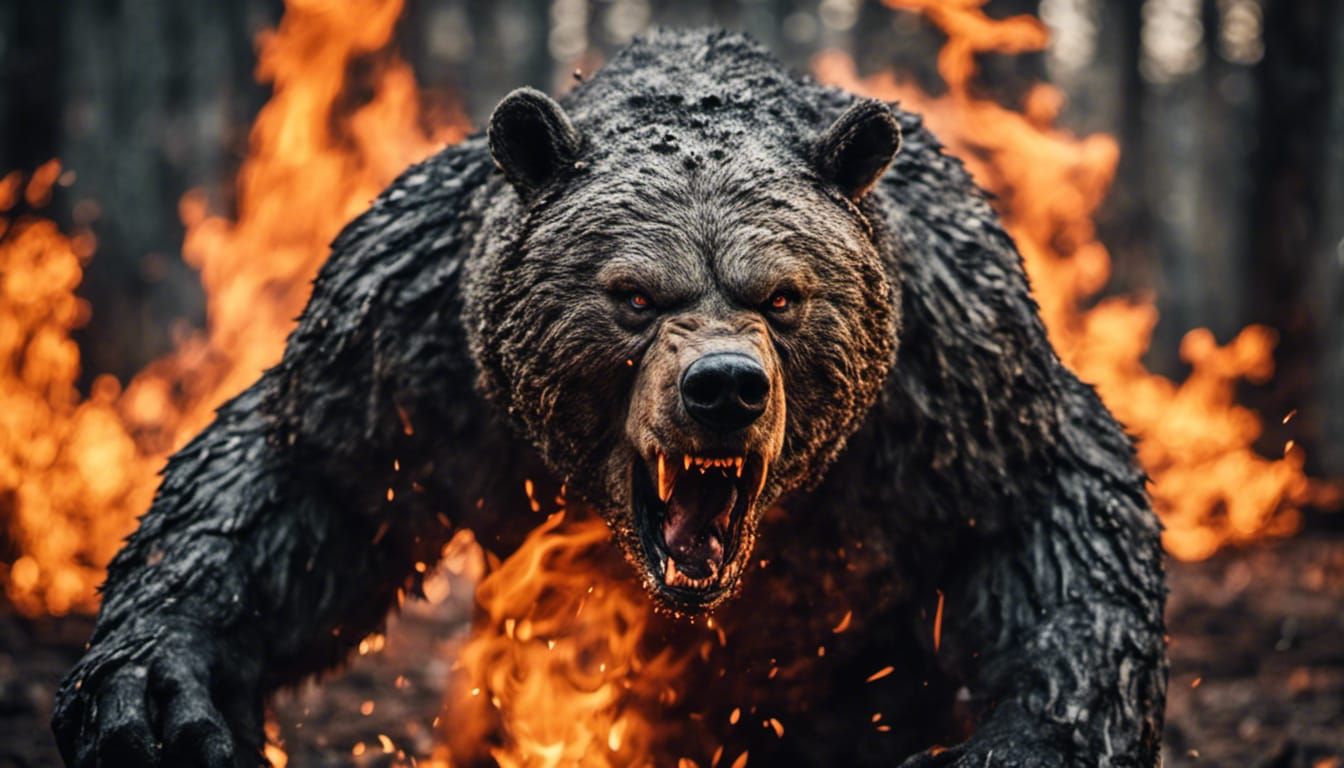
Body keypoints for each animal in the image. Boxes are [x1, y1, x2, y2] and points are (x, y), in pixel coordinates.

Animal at [52, 29, 1167, 768]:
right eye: (633, 294)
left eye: (784, 295)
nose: (723, 387)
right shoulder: (409, 349)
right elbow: (302, 479)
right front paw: (159, 691)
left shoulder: (958, 380)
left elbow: (1046, 519)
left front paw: (1032, 736)